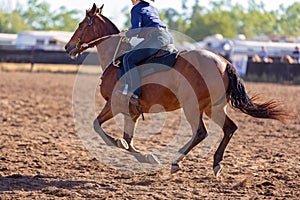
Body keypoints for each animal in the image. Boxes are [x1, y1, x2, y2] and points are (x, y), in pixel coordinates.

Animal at [63, 3, 288, 177]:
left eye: (81, 24)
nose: (67, 47)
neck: (116, 59)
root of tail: (224, 63)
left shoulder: (114, 104)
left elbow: (98, 127)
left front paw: (119, 144)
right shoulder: (132, 112)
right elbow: (128, 139)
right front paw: (147, 157)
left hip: (192, 106)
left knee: (201, 133)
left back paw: (176, 161)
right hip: (213, 108)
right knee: (229, 128)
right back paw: (216, 164)